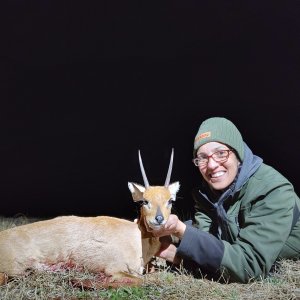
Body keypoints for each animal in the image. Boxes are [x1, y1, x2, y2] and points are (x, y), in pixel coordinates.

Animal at [0, 149, 178, 288]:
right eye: (145, 201)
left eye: (170, 200)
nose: (159, 219)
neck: (137, 239)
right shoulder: (116, 269)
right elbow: (145, 279)